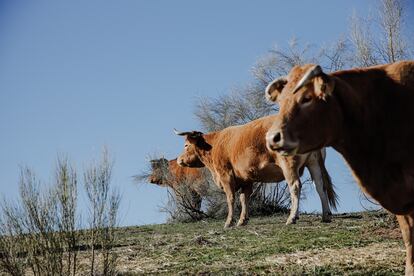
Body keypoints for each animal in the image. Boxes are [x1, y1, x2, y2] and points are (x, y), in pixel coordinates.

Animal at [173, 114, 338, 229]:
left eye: (186, 145)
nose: (179, 160)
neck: (216, 144)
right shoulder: (246, 179)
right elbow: (244, 198)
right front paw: (242, 220)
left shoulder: (226, 175)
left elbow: (231, 198)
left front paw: (229, 222)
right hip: (314, 163)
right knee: (320, 186)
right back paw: (326, 216)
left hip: (288, 165)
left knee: (295, 186)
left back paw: (292, 218)